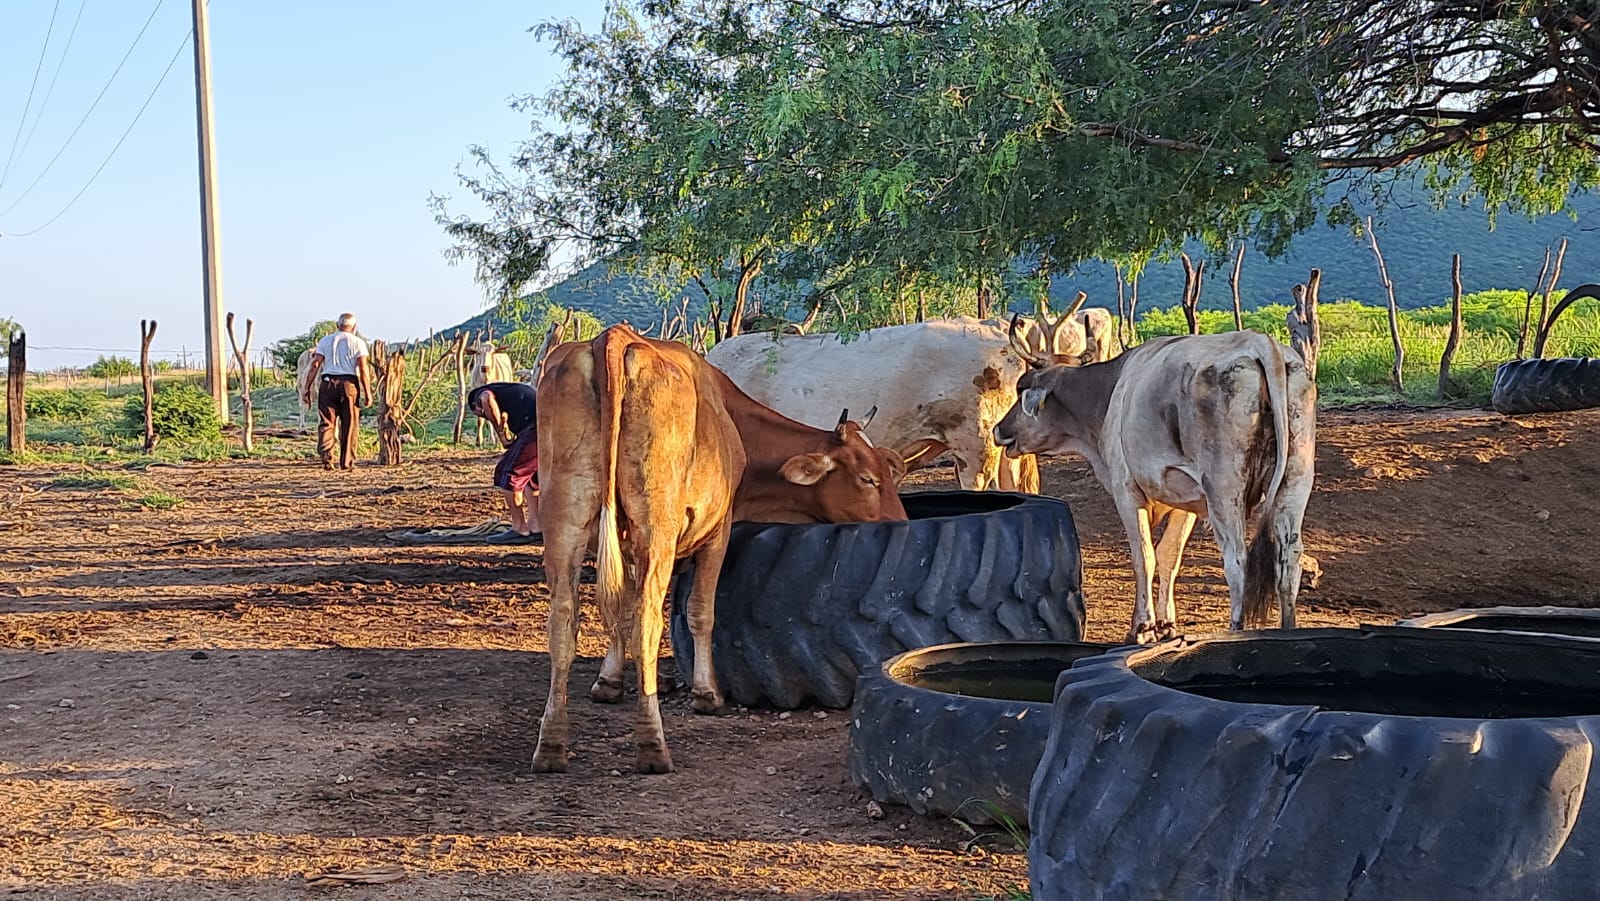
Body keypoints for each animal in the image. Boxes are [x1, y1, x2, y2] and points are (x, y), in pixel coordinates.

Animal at [534, 324, 911, 775]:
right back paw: (653, 746)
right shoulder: (719, 529)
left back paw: (551, 746)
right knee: (647, 622)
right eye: (867, 478)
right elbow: (700, 611)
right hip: (655, 526)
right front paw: (706, 693)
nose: (903, 523)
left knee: (563, 622)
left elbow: (616, 609)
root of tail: (613, 337)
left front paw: (608, 681)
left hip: (564, 524)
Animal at [992, 330, 1316, 644]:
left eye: (1021, 390)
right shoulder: (1186, 501)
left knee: (1237, 560)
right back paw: (1289, 629)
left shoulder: (1127, 491)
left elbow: (1144, 557)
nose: (999, 429)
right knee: (1289, 560)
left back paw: (1236, 629)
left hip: (1224, 491)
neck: (1110, 394)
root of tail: (1260, 342)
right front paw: (1166, 624)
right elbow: (1168, 556)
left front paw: (1142, 627)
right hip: (1294, 481)